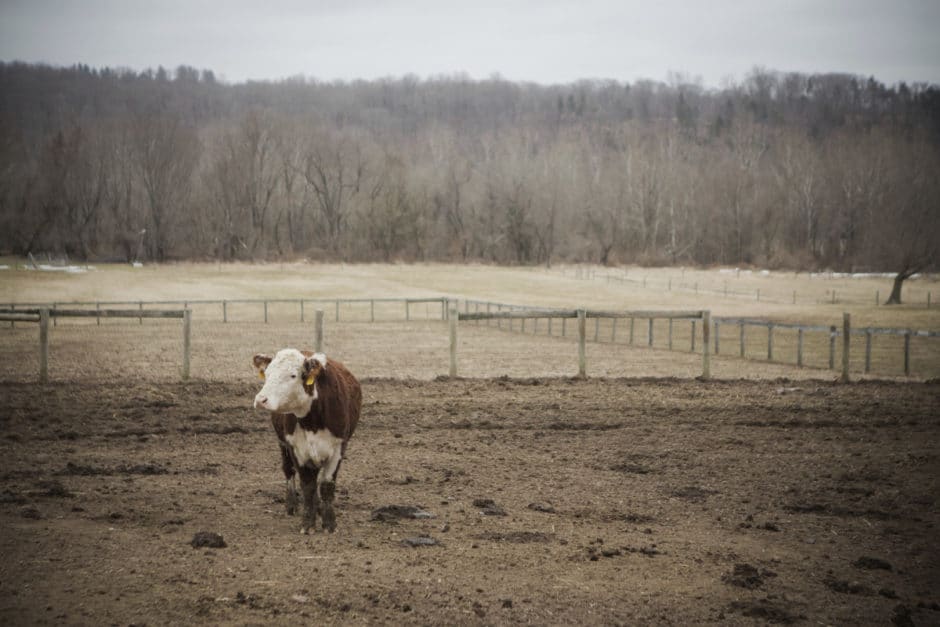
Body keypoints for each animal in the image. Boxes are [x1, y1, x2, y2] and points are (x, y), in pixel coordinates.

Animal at [252, 349, 361, 534]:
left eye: (293, 375)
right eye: (267, 374)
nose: (261, 400)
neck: (313, 421)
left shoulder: (339, 448)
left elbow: (326, 485)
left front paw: (329, 524)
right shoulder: (296, 449)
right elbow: (308, 486)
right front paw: (308, 525)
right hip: (283, 444)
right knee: (288, 471)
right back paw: (292, 505)